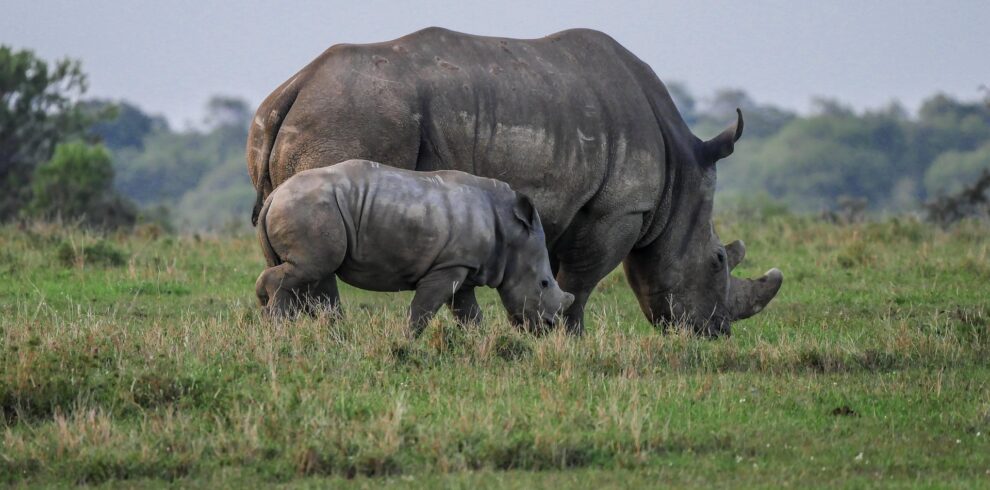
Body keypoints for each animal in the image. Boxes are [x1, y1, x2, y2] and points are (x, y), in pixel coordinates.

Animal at [256, 159, 576, 334]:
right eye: (544, 283)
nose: (548, 327)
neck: (510, 231)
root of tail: (273, 196)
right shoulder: (448, 266)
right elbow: (423, 309)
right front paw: (405, 341)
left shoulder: (462, 266)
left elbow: (469, 314)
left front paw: (480, 344)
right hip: (309, 208)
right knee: (311, 268)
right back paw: (278, 327)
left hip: (305, 208)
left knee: (308, 274)